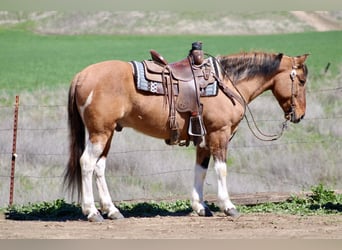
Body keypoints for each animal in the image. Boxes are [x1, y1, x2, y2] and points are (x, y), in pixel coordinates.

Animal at [64, 44, 310, 221]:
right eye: (301, 80)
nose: (300, 115)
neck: (227, 83)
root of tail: (81, 75)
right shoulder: (219, 134)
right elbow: (221, 170)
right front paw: (228, 206)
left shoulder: (204, 139)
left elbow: (200, 170)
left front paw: (200, 207)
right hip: (99, 133)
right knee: (87, 163)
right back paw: (92, 212)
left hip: (108, 134)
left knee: (99, 167)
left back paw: (112, 211)